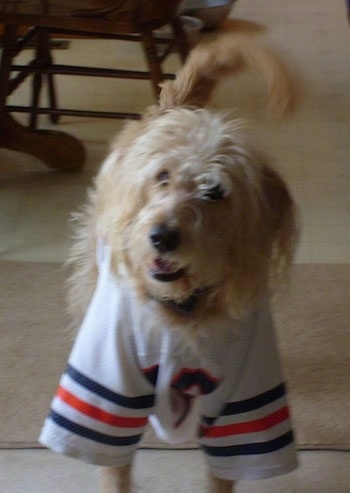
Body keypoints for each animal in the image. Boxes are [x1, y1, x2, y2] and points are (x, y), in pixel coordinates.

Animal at [40, 34, 298, 492]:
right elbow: (114, 468)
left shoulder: (245, 403)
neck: (184, 306)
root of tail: (172, 109)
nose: (161, 236)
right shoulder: (107, 389)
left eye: (215, 191)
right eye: (162, 177)